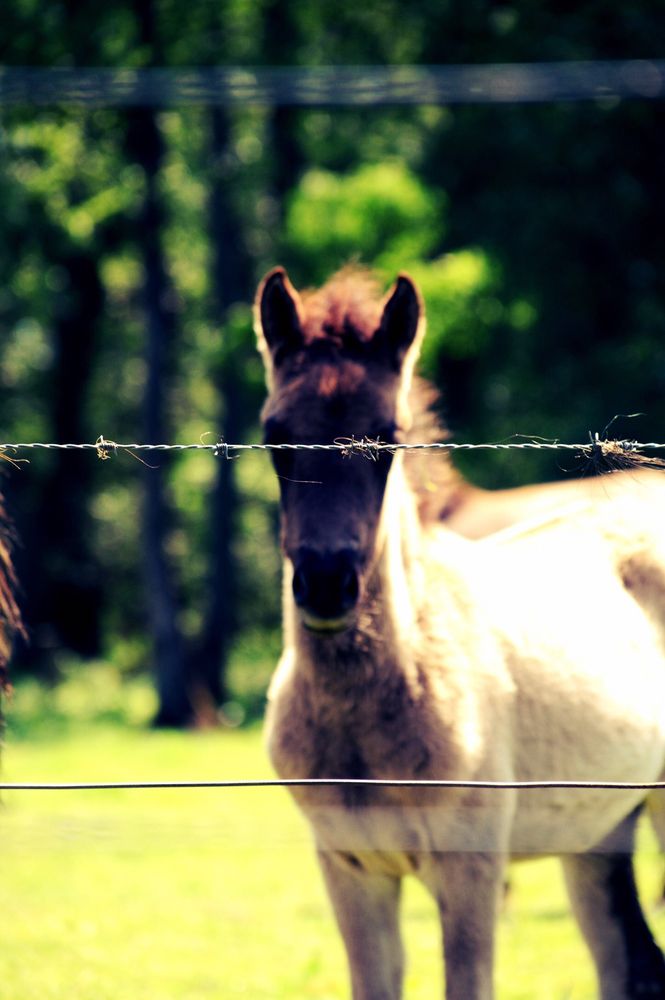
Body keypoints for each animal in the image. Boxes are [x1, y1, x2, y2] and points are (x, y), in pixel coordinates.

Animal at [255, 266, 665, 1000]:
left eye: (388, 437)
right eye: (276, 435)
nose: (327, 582)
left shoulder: (470, 869)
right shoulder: (350, 868)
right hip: (597, 834)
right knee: (630, 965)